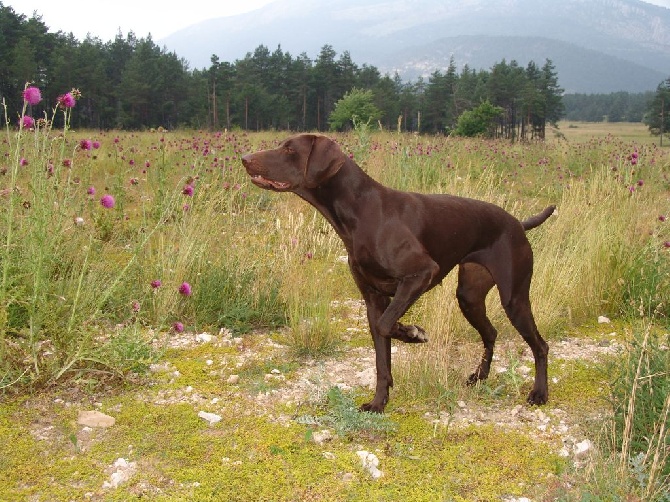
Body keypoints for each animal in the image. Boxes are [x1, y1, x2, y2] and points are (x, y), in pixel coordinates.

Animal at [242, 132, 556, 412]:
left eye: (289, 149)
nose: (244, 159)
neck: (360, 211)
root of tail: (517, 224)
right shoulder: (373, 299)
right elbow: (382, 358)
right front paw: (379, 403)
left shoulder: (420, 274)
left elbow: (386, 325)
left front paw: (412, 333)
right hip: (469, 296)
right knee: (490, 333)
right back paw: (479, 376)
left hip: (514, 298)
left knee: (540, 346)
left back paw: (539, 393)